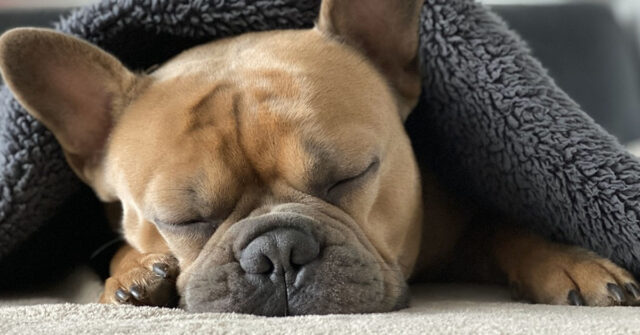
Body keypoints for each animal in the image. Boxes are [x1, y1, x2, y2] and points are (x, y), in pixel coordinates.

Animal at [0, 0, 636, 316]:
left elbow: (505, 227)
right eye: (182, 219)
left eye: (351, 176)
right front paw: (135, 274)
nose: (278, 251)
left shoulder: (459, 226)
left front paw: (568, 262)